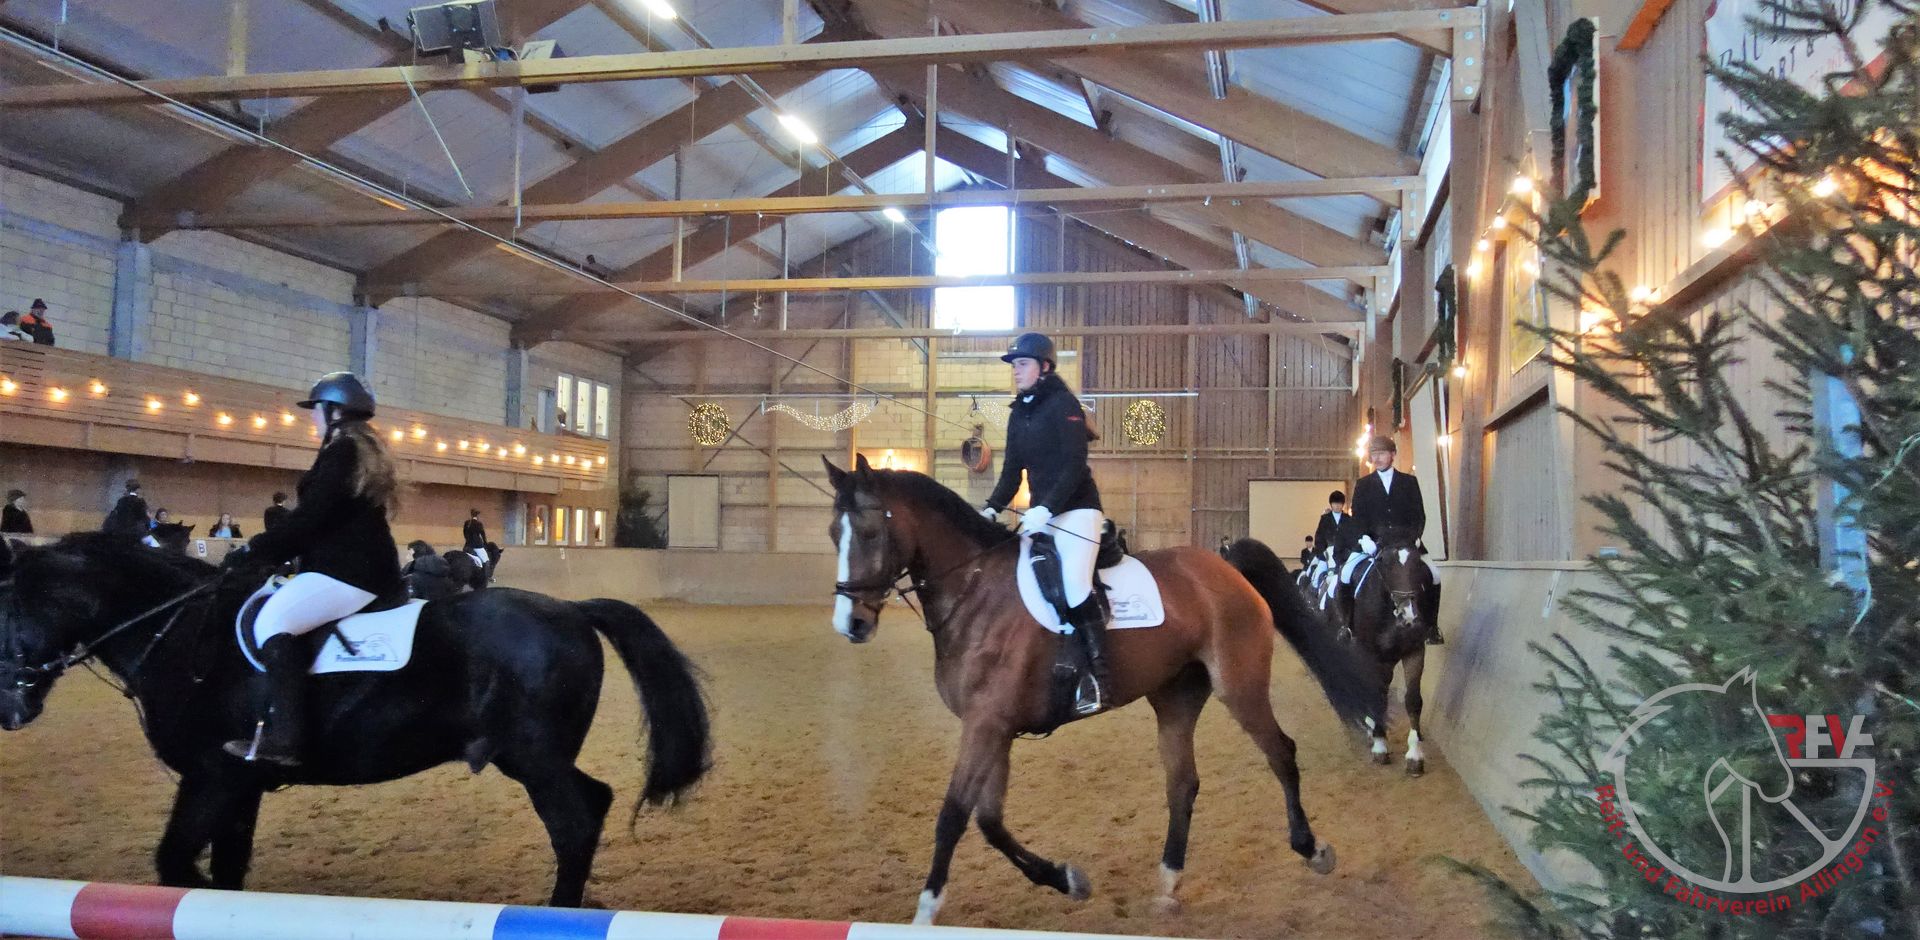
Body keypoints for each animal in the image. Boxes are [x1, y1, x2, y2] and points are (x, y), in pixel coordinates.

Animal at [0, 532, 710, 906]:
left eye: (8, 608)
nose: (11, 707)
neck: (184, 637)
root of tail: (571, 609)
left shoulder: (211, 778)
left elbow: (177, 863)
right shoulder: (239, 785)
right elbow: (225, 874)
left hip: (534, 758)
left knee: (575, 822)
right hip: (533, 756)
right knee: (592, 806)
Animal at [822, 457, 1383, 923]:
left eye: (869, 532)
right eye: (833, 534)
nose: (851, 624)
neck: (975, 592)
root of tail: (1223, 566)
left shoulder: (985, 726)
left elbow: (953, 817)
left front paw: (926, 909)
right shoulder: (994, 727)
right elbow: (990, 822)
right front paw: (1068, 880)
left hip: (1240, 687)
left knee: (1281, 753)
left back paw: (1313, 849)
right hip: (1175, 696)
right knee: (1183, 783)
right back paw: (1168, 882)